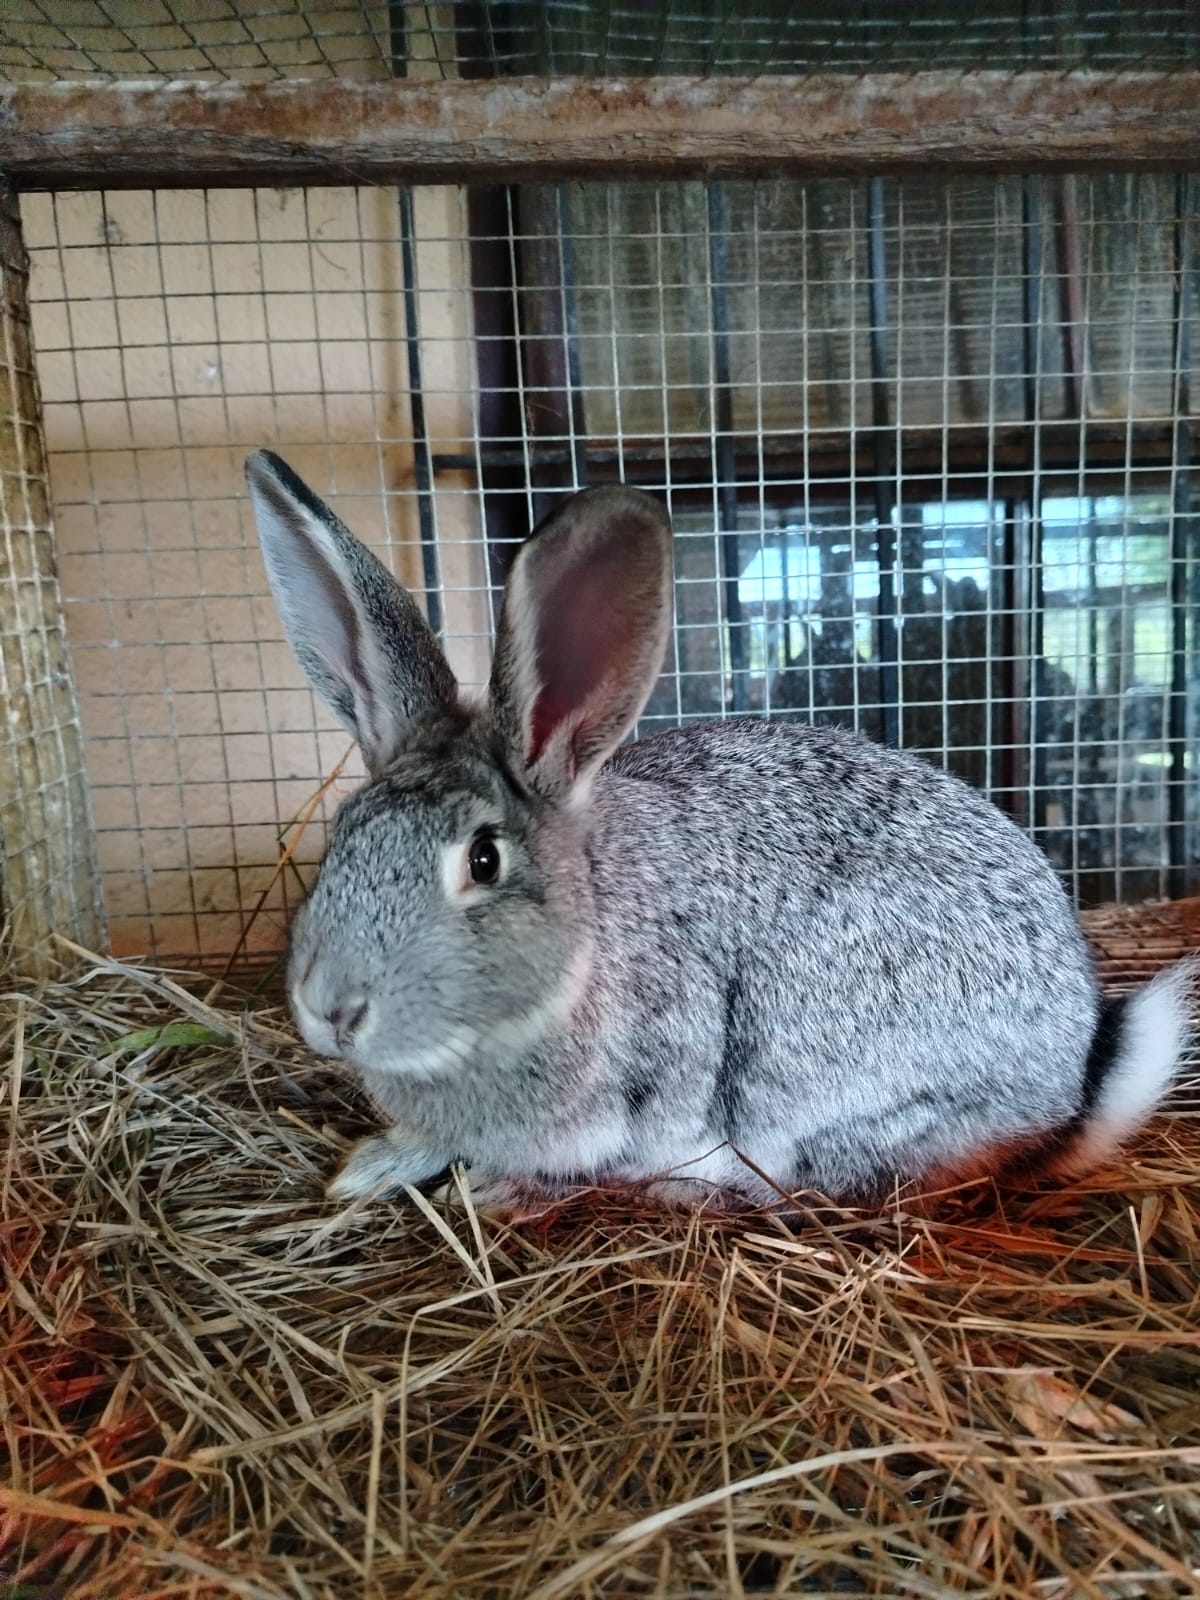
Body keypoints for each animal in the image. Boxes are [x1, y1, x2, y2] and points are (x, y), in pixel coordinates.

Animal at [244, 449, 1195, 1213]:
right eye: (343, 833)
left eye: (483, 860)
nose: (331, 1010)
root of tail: (1070, 1083)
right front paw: (374, 1167)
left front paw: (496, 1188)